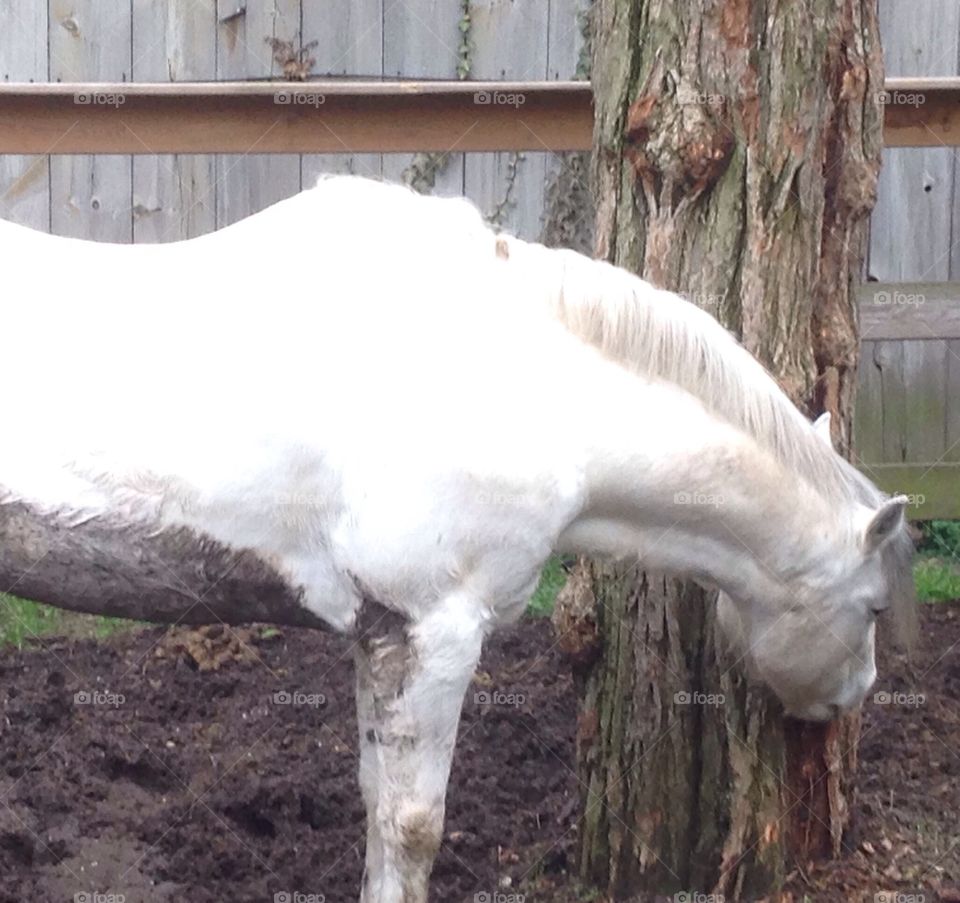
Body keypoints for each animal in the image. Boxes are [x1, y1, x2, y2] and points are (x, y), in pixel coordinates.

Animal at [0, 177, 916, 903]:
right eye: (873, 606)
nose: (851, 698)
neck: (520, 386)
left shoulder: (379, 634)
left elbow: (376, 801)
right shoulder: (433, 631)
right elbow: (413, 827)